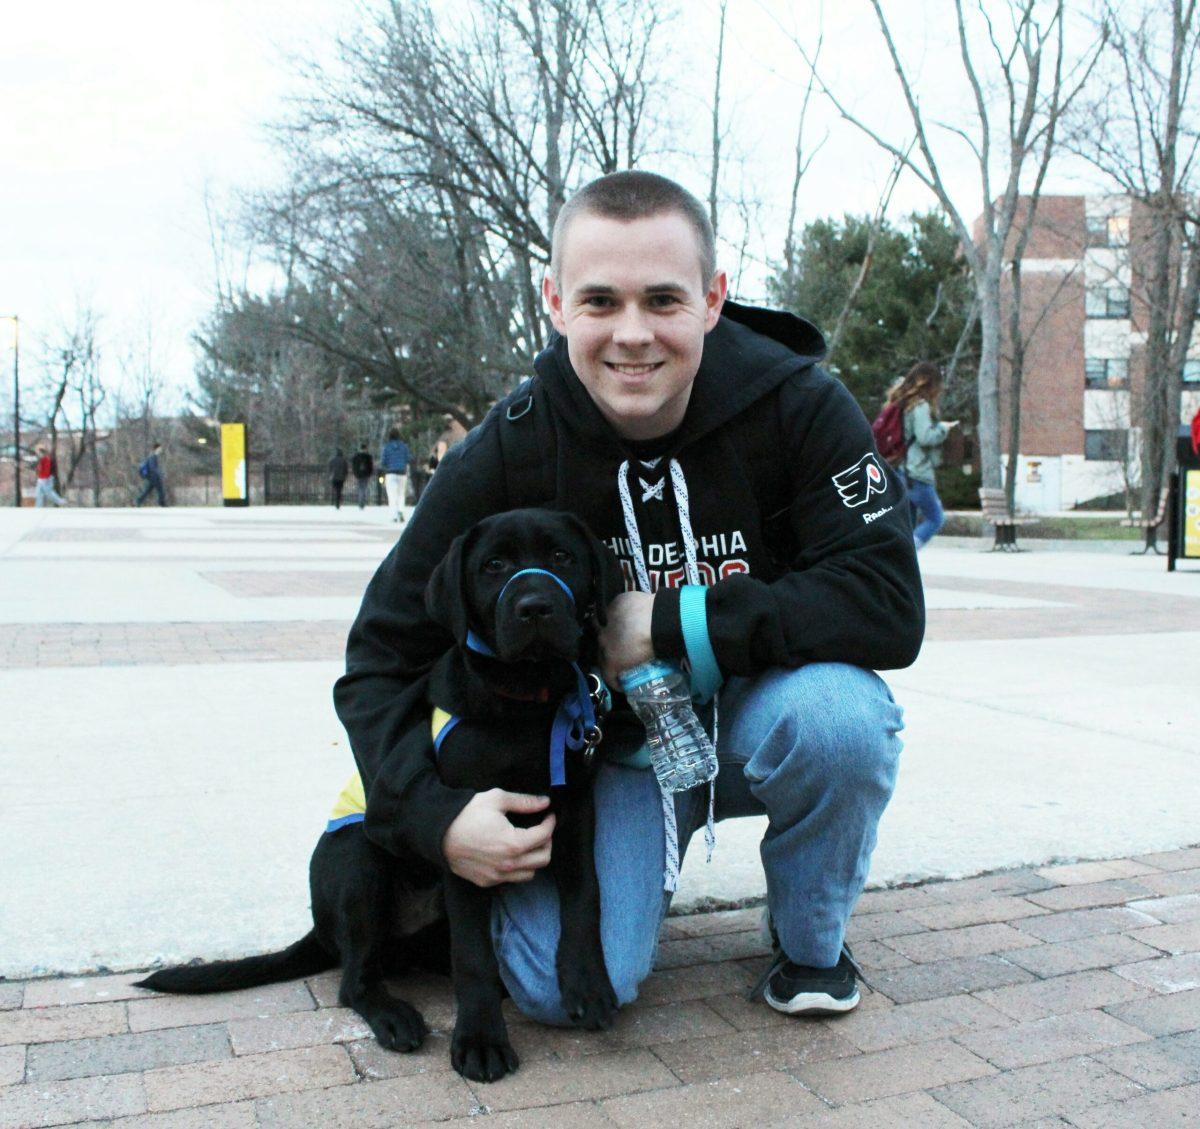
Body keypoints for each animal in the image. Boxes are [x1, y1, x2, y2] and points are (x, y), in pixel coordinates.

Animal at [139, 506, 624, 1079]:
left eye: (562, 557)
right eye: (494, 565)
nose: (534, 608)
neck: (524, 703)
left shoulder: (575, 812)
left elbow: (585, 898)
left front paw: (588, 985)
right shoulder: (471, 840)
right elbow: (474, 956)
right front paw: (481, 1040)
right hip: (358, 861)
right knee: (356, 979)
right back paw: (394, 1016)